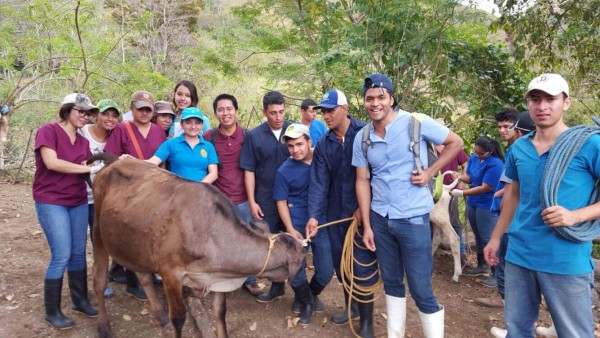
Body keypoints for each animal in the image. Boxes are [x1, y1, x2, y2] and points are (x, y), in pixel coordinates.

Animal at [85, 153, 304, 338]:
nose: (303, 263)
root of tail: (114, 160)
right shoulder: (170, 272)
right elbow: (178, 317)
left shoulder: (216, 278)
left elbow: (220, 313)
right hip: (97, 231)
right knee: (98, 279)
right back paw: (104, 326)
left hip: (136, 243)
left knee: (143, 276)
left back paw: (160, 316)